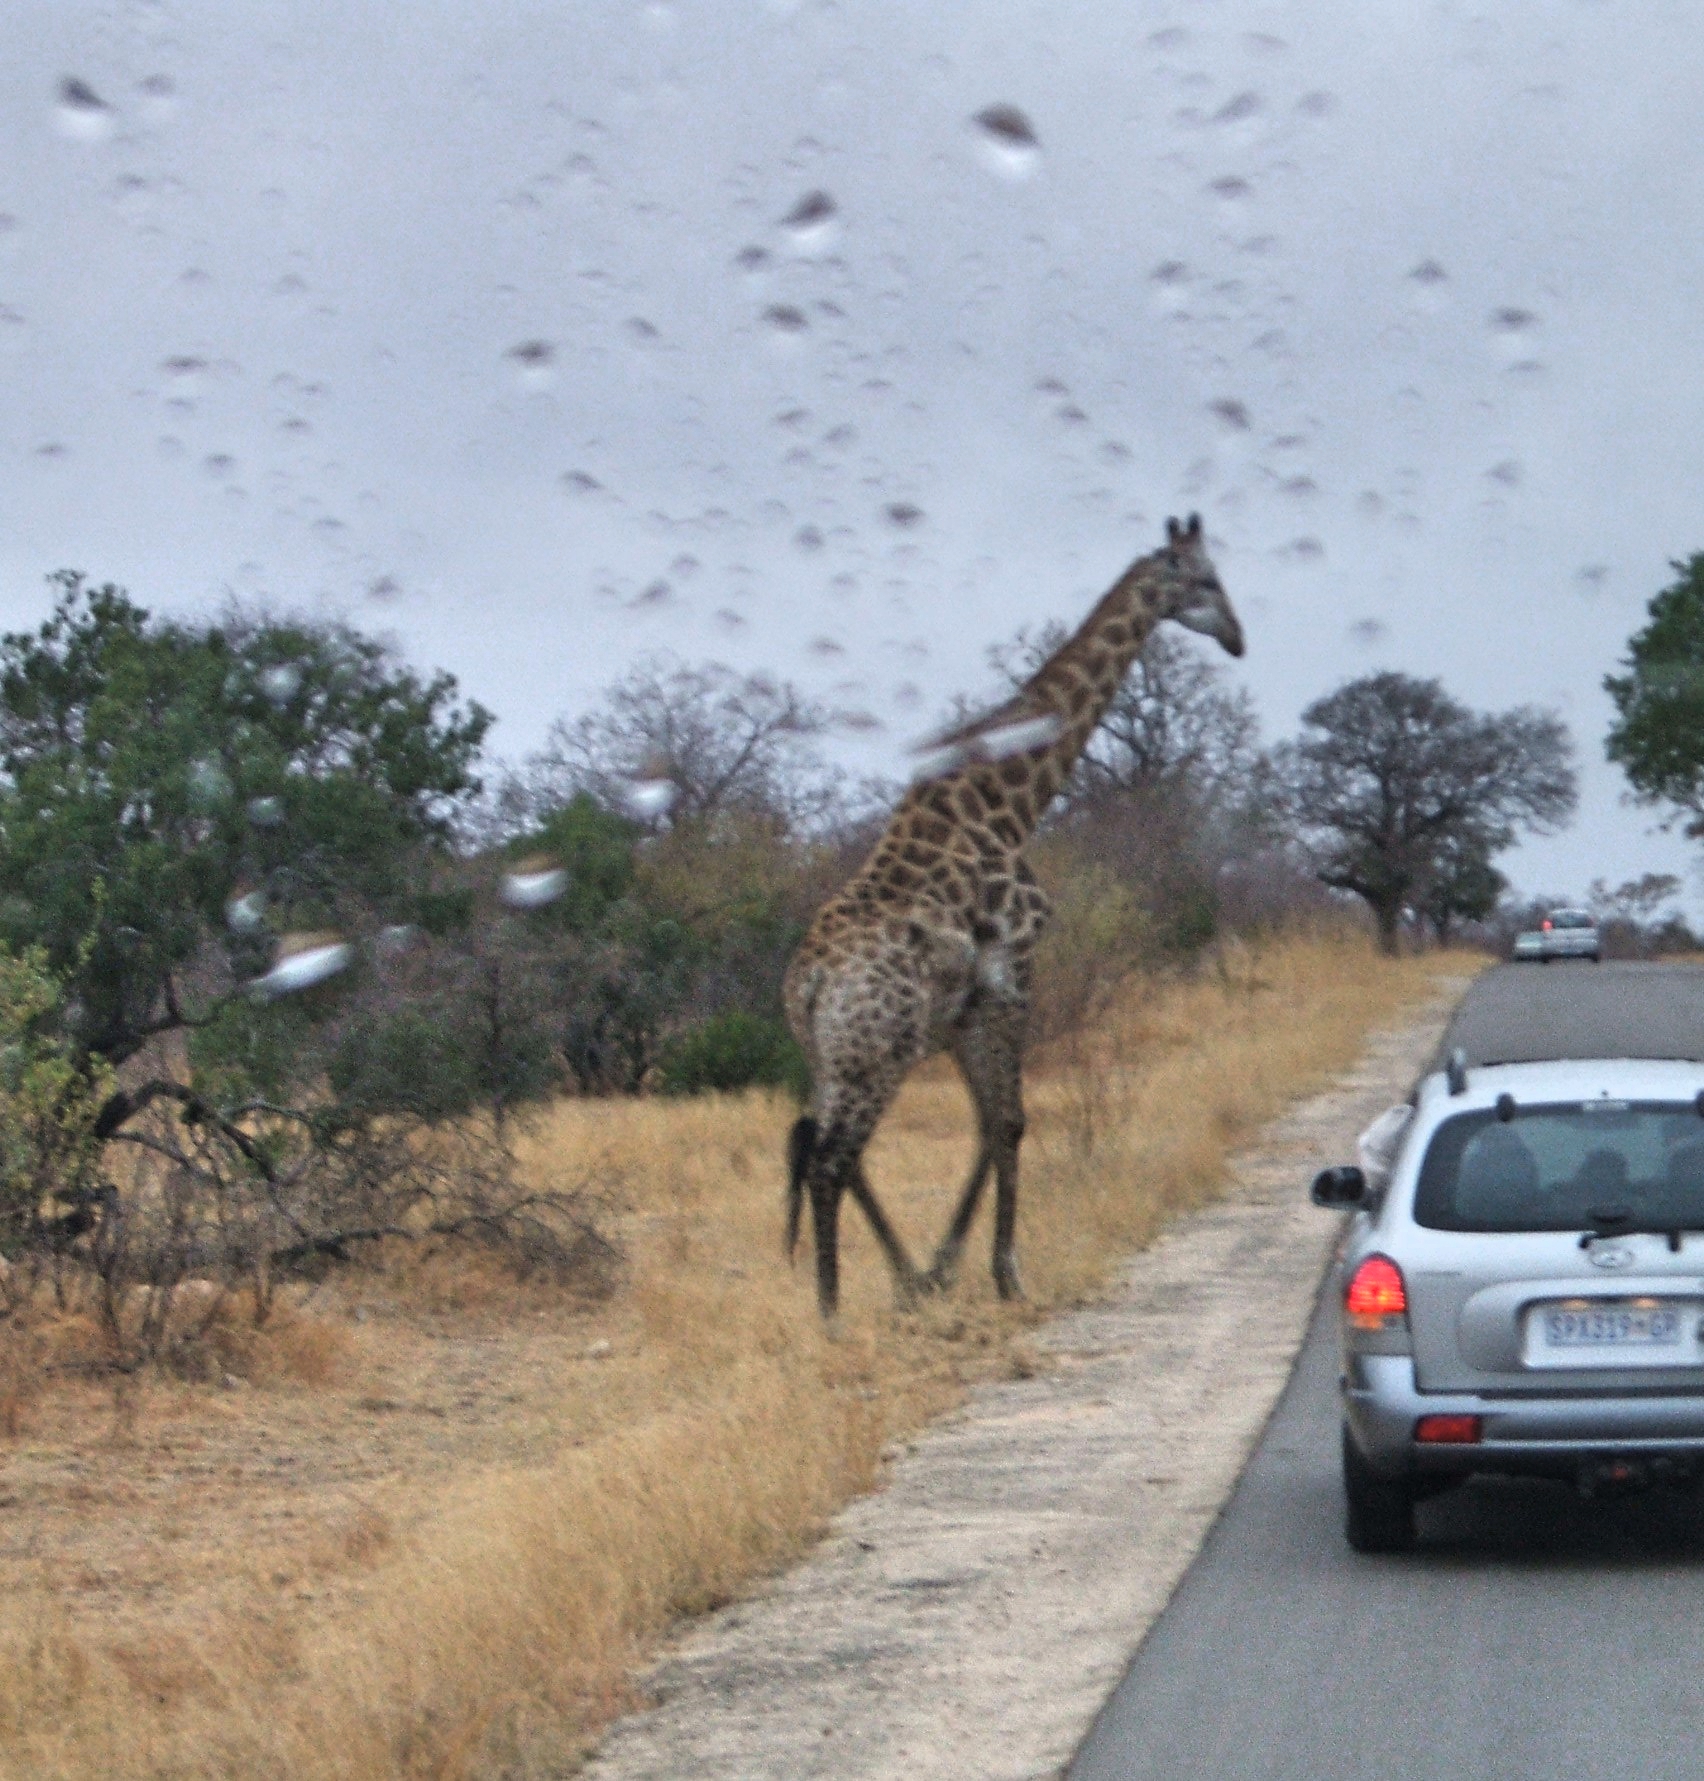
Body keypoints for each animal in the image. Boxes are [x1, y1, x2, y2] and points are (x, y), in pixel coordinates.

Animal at [782, 516, 1244, 1318]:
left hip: (839, 1054)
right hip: (881, 1051)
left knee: (829, 1150)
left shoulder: (968, 1005)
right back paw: (835, 1313)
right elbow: (1012, 1121)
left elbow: (988, 1123)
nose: (1239, 639)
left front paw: (945, 1266)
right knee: (832, 1160)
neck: (1011, 805)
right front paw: (1005, 1273)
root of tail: (805, 985)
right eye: (1207, 580)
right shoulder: (1012, 974)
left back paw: (896, 1282)